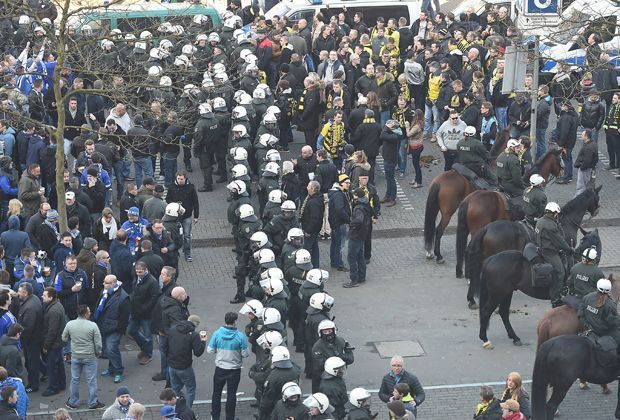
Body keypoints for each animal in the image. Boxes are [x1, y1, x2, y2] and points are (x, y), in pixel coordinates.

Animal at [470, 186, 600, 348]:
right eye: (597, 197)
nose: (596, 210)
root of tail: (487, 228)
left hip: (505, 290)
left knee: (502, 310)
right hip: (498, 292)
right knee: (487, 311)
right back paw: (485, 338)